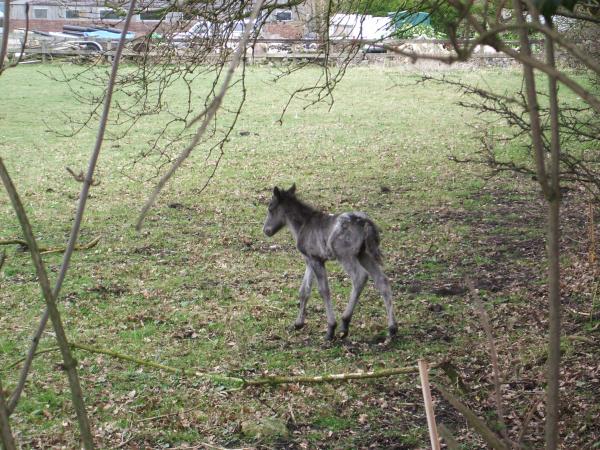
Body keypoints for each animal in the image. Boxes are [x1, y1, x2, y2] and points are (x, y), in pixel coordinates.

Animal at [262, 185, 398, 340]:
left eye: (270, 208)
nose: (266, 230)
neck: (303, 225)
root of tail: (365, 222)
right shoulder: (310, 260)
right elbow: (304, 290)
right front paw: (298, 323)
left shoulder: (316, 260)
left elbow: (324, 291)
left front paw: (330, 328)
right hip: (363, 254)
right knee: (382, 280)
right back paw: (392, 328)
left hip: (345, 255)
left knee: (360, 277)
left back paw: (344, 324)